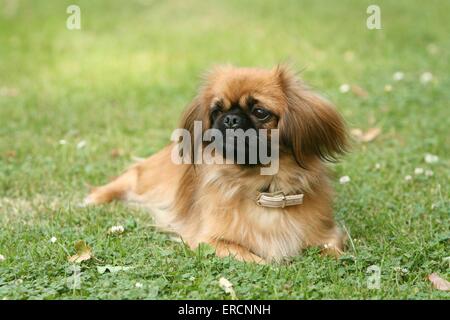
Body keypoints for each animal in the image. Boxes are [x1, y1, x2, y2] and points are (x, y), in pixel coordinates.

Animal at [86, 65, 350, 262]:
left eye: (260, 112)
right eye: (216, 110)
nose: (230, 119)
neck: (264, 187)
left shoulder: (327, 235)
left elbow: (333, 252)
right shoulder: (210, 240)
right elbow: (252, 257)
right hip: (152, 180)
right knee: (129, 177)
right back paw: (95, 198)